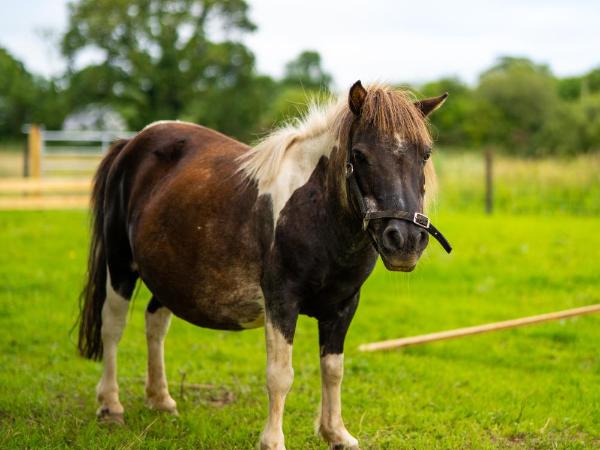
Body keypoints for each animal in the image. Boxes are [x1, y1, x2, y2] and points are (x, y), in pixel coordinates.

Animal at [77, 81, 448, 450]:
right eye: (359, 155)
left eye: (425, 154)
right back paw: (110, 406)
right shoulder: (281, 301)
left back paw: (161, 399)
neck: (316, 211)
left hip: (169, 274)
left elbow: (333, 370)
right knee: (113, 326)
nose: (404, 240)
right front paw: (273, 441)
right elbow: (280, 375)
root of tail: (131, 143)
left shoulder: (343, 306)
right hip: (120, 265)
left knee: (155, 323)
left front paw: (336, 433)